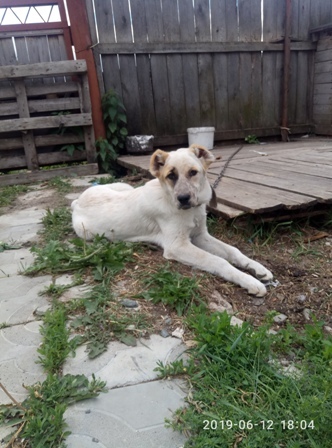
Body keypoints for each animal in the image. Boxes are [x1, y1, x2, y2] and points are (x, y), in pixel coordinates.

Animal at [72, 145, 272, 296]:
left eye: (193, 172)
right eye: (171, 176)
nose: (183, 198)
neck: (190, 211)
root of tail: (77, 202)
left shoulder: (200, 236)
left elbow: (233, 251)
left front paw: (257, 268)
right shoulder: (178, 246)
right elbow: (218, 261)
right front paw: (249, 281)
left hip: (124, 186)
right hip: (88, 232)